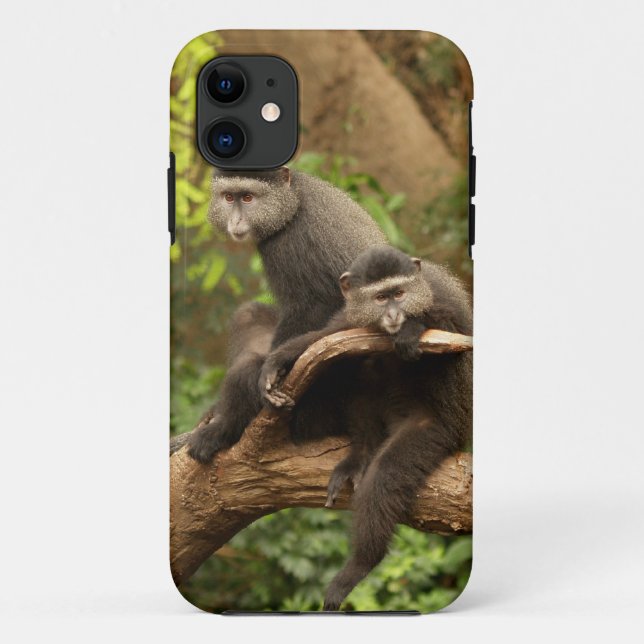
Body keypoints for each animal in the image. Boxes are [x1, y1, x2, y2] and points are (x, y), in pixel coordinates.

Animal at [187, 168, 386, 463]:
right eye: (229, 197)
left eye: (248, 198)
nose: (235, 220)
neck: (293, 201)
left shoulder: (289, 243)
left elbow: (314, 305)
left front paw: (271, 371)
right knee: (248, 314)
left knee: (249, 368)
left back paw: (225, 428)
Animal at [258, 245, 472, 610]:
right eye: (380, 297)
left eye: (399, 294)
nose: (394, 315)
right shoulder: (352, 316)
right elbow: (328, 337)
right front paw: (278, 360)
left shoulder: (440, 299)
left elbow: (454, 336)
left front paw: (412, 329)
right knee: (357, 366)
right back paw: (361, 453)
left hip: (440, 429)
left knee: (386, 474)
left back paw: (360, 565)